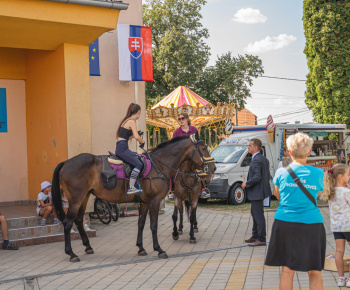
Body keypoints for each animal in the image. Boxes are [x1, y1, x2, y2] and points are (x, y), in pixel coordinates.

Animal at [51, 135, 216, 262]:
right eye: (203, 149)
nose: (213, 168)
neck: (158, 165)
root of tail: (66, 162)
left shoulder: (144, 202)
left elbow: (141, 224)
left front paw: (141, 247)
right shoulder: (154, 200)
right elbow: (153, 225)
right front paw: (159, 249)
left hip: (84, 197)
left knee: (79, 220)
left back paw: (87, 246)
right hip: (75, 200)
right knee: (68, 223)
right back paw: (71, 253)